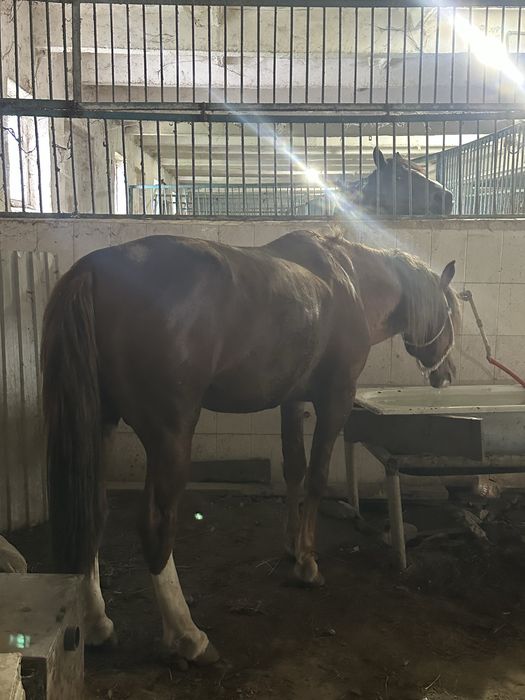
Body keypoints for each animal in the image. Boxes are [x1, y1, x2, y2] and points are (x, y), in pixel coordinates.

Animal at [41, 229, 459, 665]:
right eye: (451, 311)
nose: (447, 374)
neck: (350, 281)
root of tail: (93, 270)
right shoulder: (336, 400)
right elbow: (317, 475)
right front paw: (308, 563)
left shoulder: (292, 400)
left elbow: (294, 467)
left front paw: (293, 545)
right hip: (169, 435)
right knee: (156, 525)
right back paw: (188, 636)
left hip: (99, 425)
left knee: (92, 511)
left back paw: (97, 625)